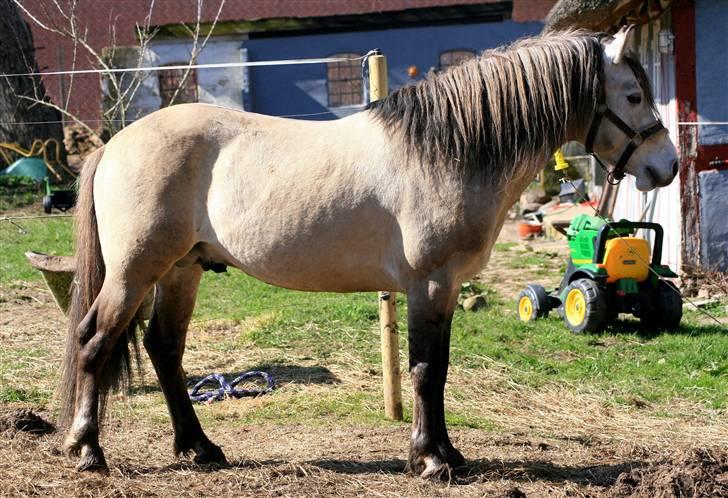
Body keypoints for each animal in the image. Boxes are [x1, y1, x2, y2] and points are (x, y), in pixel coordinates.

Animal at [61, 28, 676, 478]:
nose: (666, 166)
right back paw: (89, 451)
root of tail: (114, 144)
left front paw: (447, 454)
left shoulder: (446, 287)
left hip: (182, 271)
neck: (446, 150)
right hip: (135, 272)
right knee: (93, 341)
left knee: (163, 350)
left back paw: (200, 448)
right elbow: (426, 370)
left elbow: (438, 369)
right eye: (634, 95)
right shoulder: (430, 282)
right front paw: (430, 459)